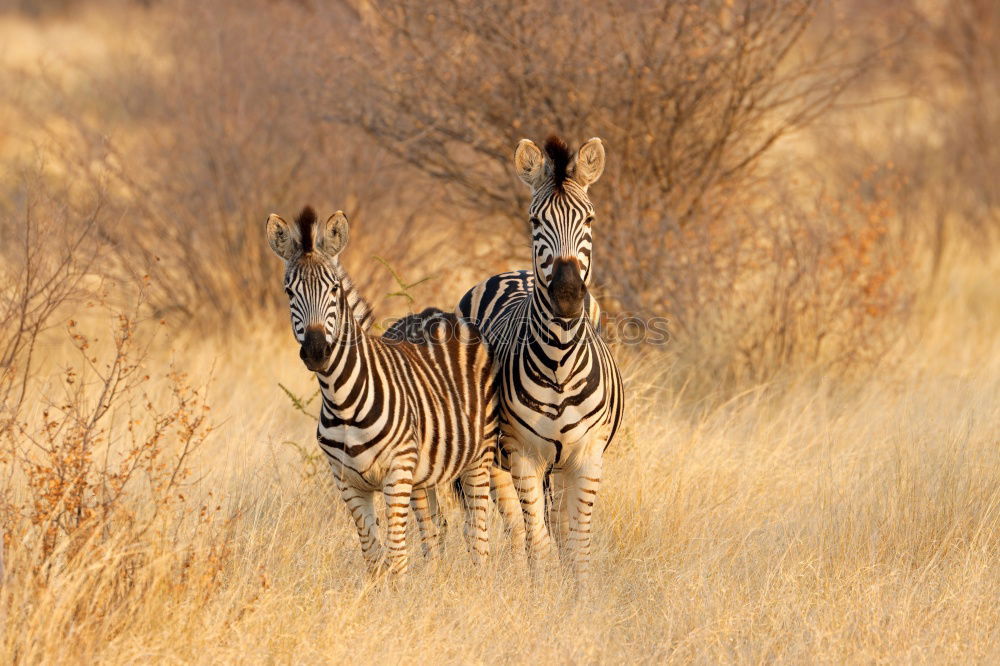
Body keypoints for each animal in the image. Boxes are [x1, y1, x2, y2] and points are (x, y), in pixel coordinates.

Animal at [266, 206, 500, 572]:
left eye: (335, 290)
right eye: (289, 292)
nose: (317, 351)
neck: (342, 401)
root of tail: (440, 314)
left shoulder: (396, 473)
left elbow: (398, 556)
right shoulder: (347, 483)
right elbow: (374, 558)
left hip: (479, 455)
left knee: (478, 533)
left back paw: (480, 577)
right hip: (424, 476)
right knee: (436, 531)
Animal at [456, 136, 624, 580]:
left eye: (590, 219)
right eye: (535, 221)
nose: (566, 296)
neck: (560, 361)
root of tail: (514, 271)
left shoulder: (587, 455)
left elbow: (577, 546)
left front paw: (577, 594)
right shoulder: (523, 454)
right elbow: (538, 542)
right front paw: (542, 591)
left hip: (561, 466)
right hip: (497, 457)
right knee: (514, 529)